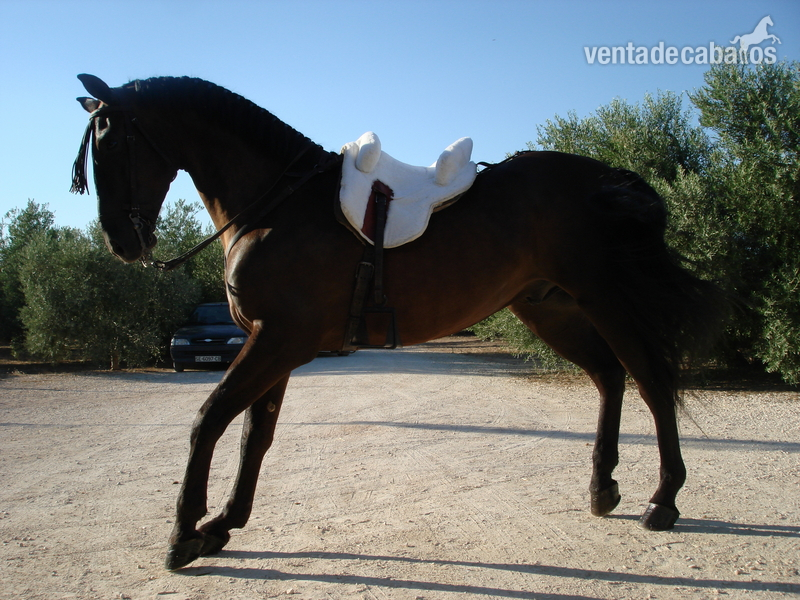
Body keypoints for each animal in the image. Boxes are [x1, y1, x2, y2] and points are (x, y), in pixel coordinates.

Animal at [71, 74, 725, 570]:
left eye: (110, 141)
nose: (121, 242)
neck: (279, 206)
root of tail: (606, 179)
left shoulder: (276, 341)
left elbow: (209, 421)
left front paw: (185, 534)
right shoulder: (271, 343)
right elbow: (257, 434)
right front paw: (223, 524)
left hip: (606, 298)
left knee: (652, 382)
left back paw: (663, 500)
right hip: (550, 307)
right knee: (611, 377)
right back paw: (602, 488)